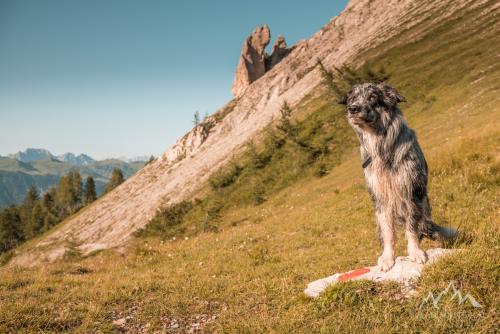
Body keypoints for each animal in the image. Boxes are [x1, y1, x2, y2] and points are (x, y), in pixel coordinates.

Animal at [342, 83, 456, 272]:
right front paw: (388, 258)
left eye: (373, 97)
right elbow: (388, 232)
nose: (352, 108)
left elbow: (412, 227)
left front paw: (415, 252)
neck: (381, 146)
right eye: (352, 98)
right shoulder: (380, 198)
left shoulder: (411, 191)